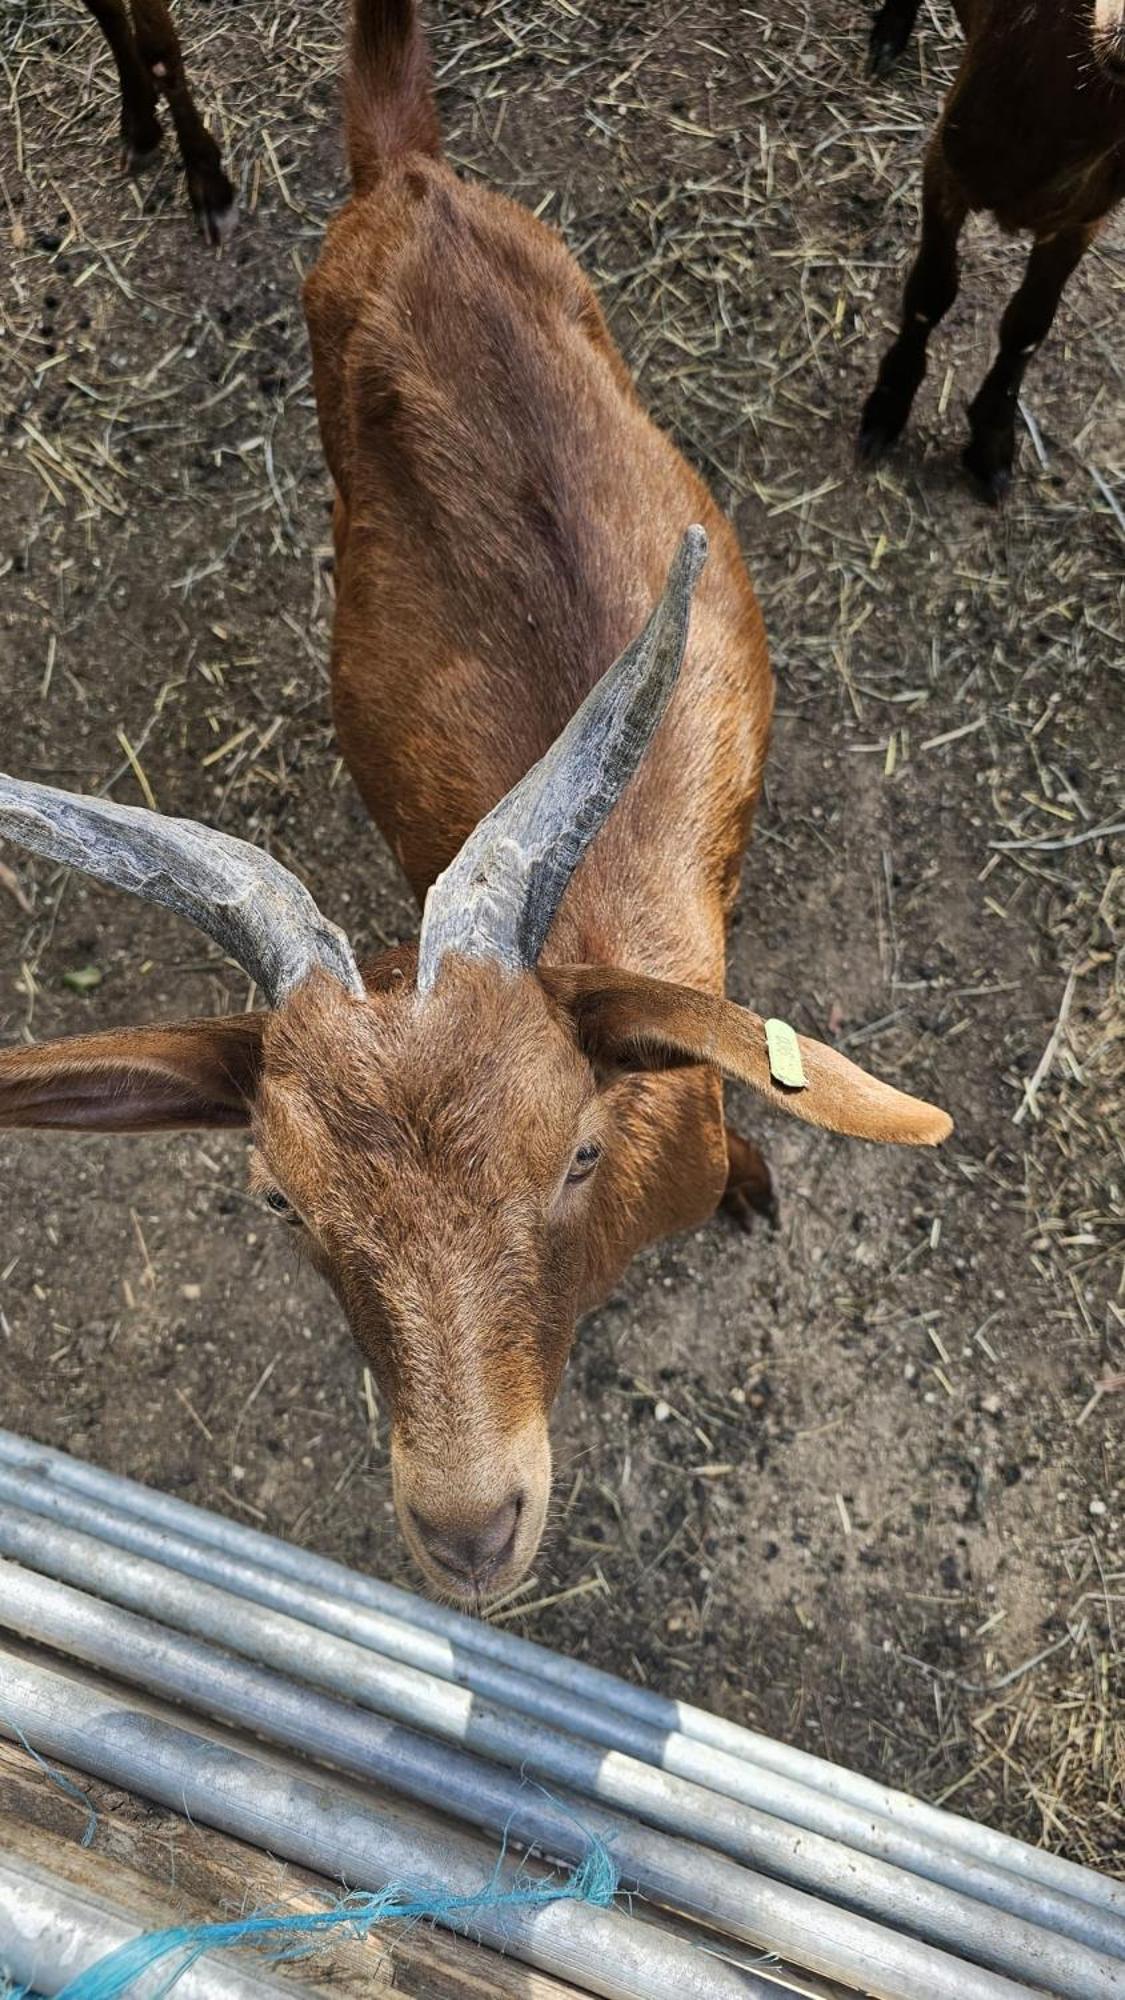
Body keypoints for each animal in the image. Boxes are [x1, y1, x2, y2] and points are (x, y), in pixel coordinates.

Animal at [856, 0, 1120, 500]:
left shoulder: (1084, 218)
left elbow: (1029, 325)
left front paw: (991, 442)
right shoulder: (946, 166)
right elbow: (931, 292)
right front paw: (887, 406)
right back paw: (889, 35)